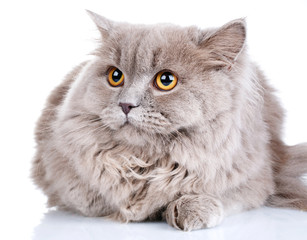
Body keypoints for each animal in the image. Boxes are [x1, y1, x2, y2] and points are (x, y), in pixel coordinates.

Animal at [31, 10, 307, 232]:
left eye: (166, 80)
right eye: (115, 76)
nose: (126, 105)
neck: (144, 159)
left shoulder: (255, 176)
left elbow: (218, 192)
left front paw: (189, 208)